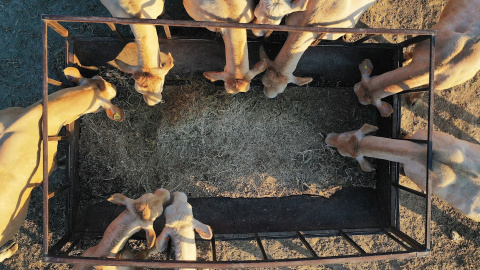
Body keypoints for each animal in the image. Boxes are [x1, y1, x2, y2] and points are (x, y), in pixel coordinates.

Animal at [0, 67, 124, 262]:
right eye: (111, 95)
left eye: (99, 78)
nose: (114, 83)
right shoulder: (47, 166)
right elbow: (58, 163)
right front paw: (66, 161)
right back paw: (10, 249)